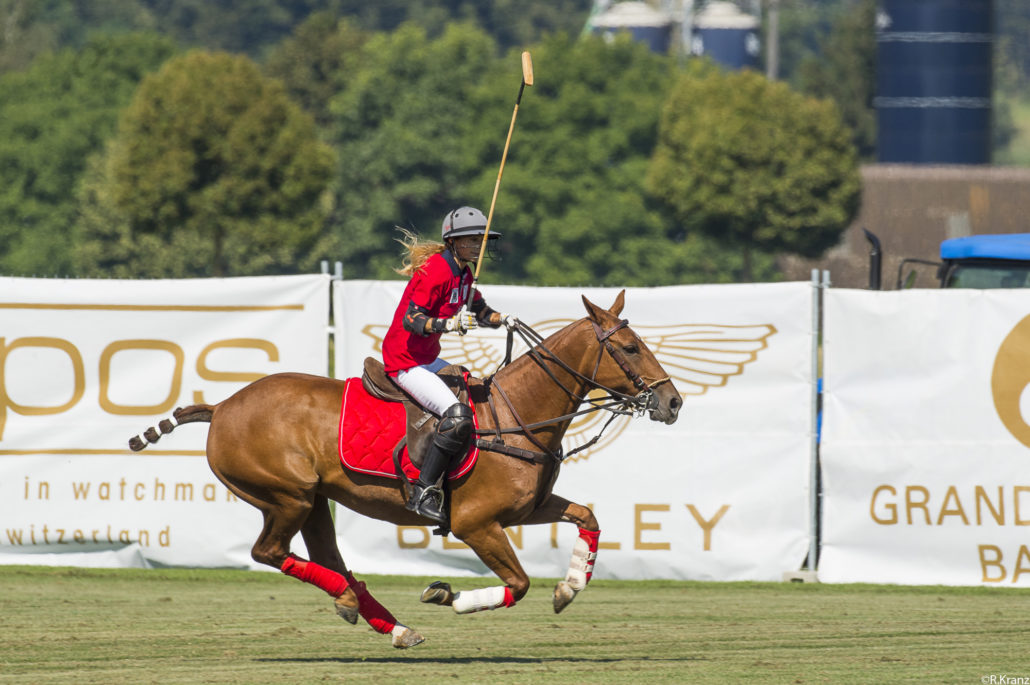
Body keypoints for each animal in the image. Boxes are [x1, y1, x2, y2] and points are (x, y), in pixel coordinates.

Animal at [128, 290, 681, 648]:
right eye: (630, 347)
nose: (673, 402)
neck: (520, 415)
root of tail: (221, 407)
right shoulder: (476, 523)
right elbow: (519, 583)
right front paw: (447, 595)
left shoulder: (529, 508)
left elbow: (588, 516)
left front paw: (569, 589)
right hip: (286, 494)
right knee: (270, 552)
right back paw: (353, 602)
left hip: (313, 500)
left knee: (328, 557)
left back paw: (386, 622)